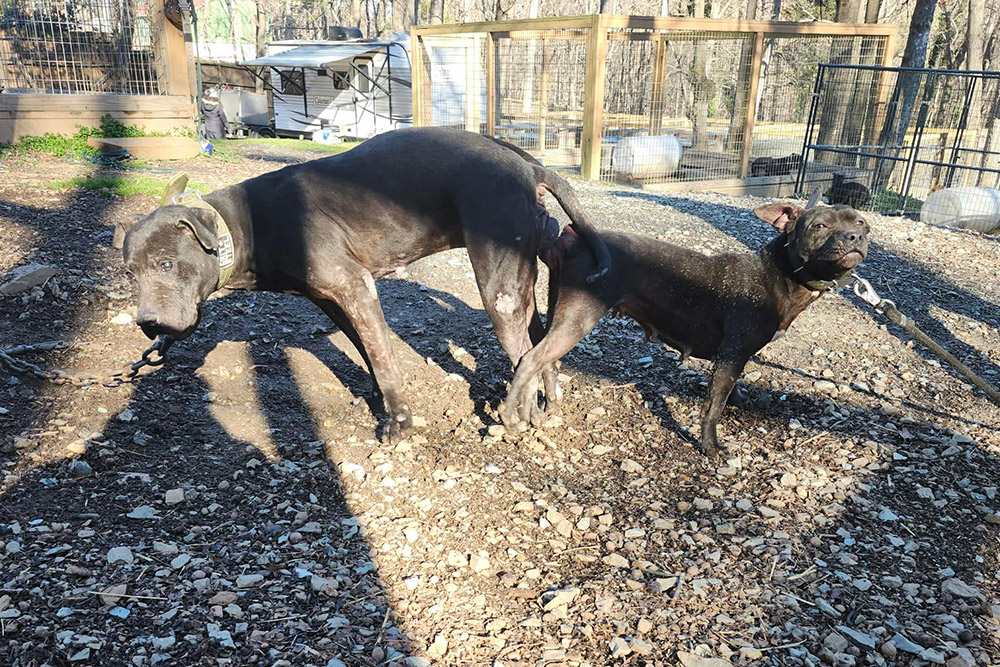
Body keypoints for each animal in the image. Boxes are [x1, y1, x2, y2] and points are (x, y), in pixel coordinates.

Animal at [116, 127, 610, 441]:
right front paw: (375, 397)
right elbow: (366, 351)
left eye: (165, 264)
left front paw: (399, 423)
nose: (147, 324)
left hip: (499, 293)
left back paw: (518, 418)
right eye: (130, 273)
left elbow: (385, 362)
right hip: (523, 281)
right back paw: (548, 404)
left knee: (523, 353)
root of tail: (529, 167)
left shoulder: (357, 289)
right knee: (541, 345)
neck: (242, 228)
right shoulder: (334, 300)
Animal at [499, 198, 869, 455]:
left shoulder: (732, 358)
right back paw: (509, 415)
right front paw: (710, 446)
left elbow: (730, 391)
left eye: (861, 223)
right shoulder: (731, 355)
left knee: (543, 361)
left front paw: (741, 401)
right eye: (819, 226)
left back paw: (546, 407)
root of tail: (574, 238)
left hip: (561, 316)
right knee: (530, 359)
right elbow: (713, 406)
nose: (854, 236)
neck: (779, 274)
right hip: (578, 318)